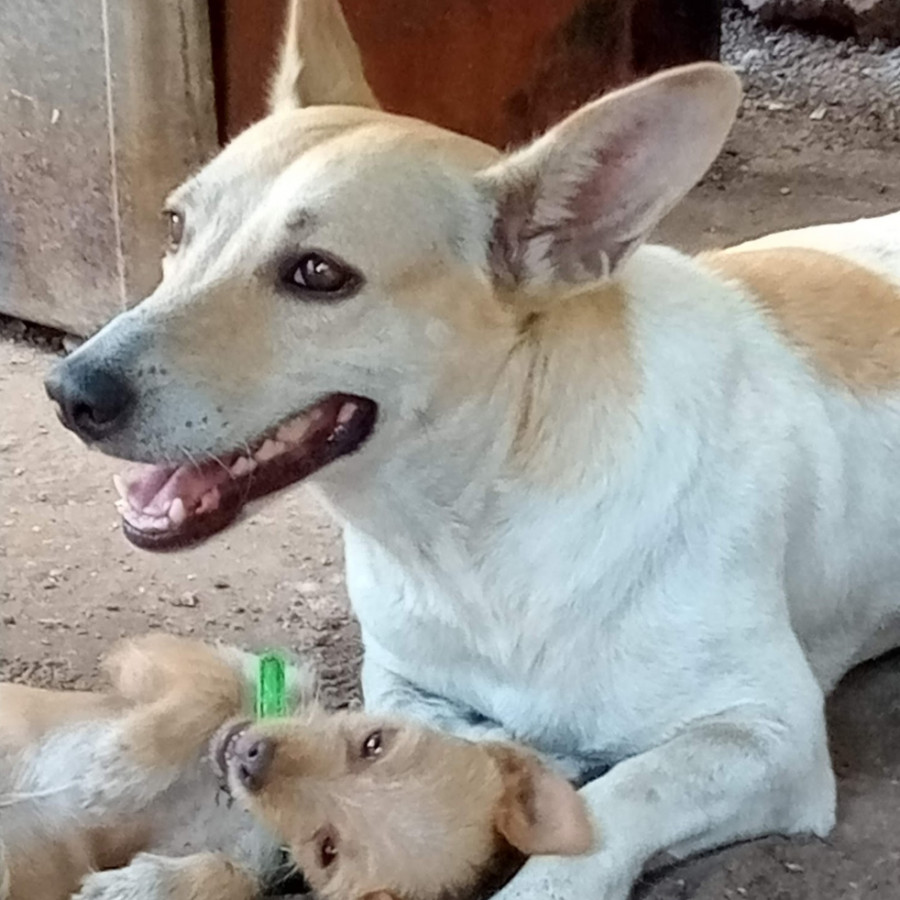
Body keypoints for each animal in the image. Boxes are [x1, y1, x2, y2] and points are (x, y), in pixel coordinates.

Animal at [44, 1, 900, 900]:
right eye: (177, 225)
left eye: (318, 274)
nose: (70, 391)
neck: (470, 542)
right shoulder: (403, 687)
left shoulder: (771, 734)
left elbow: (622, 796)